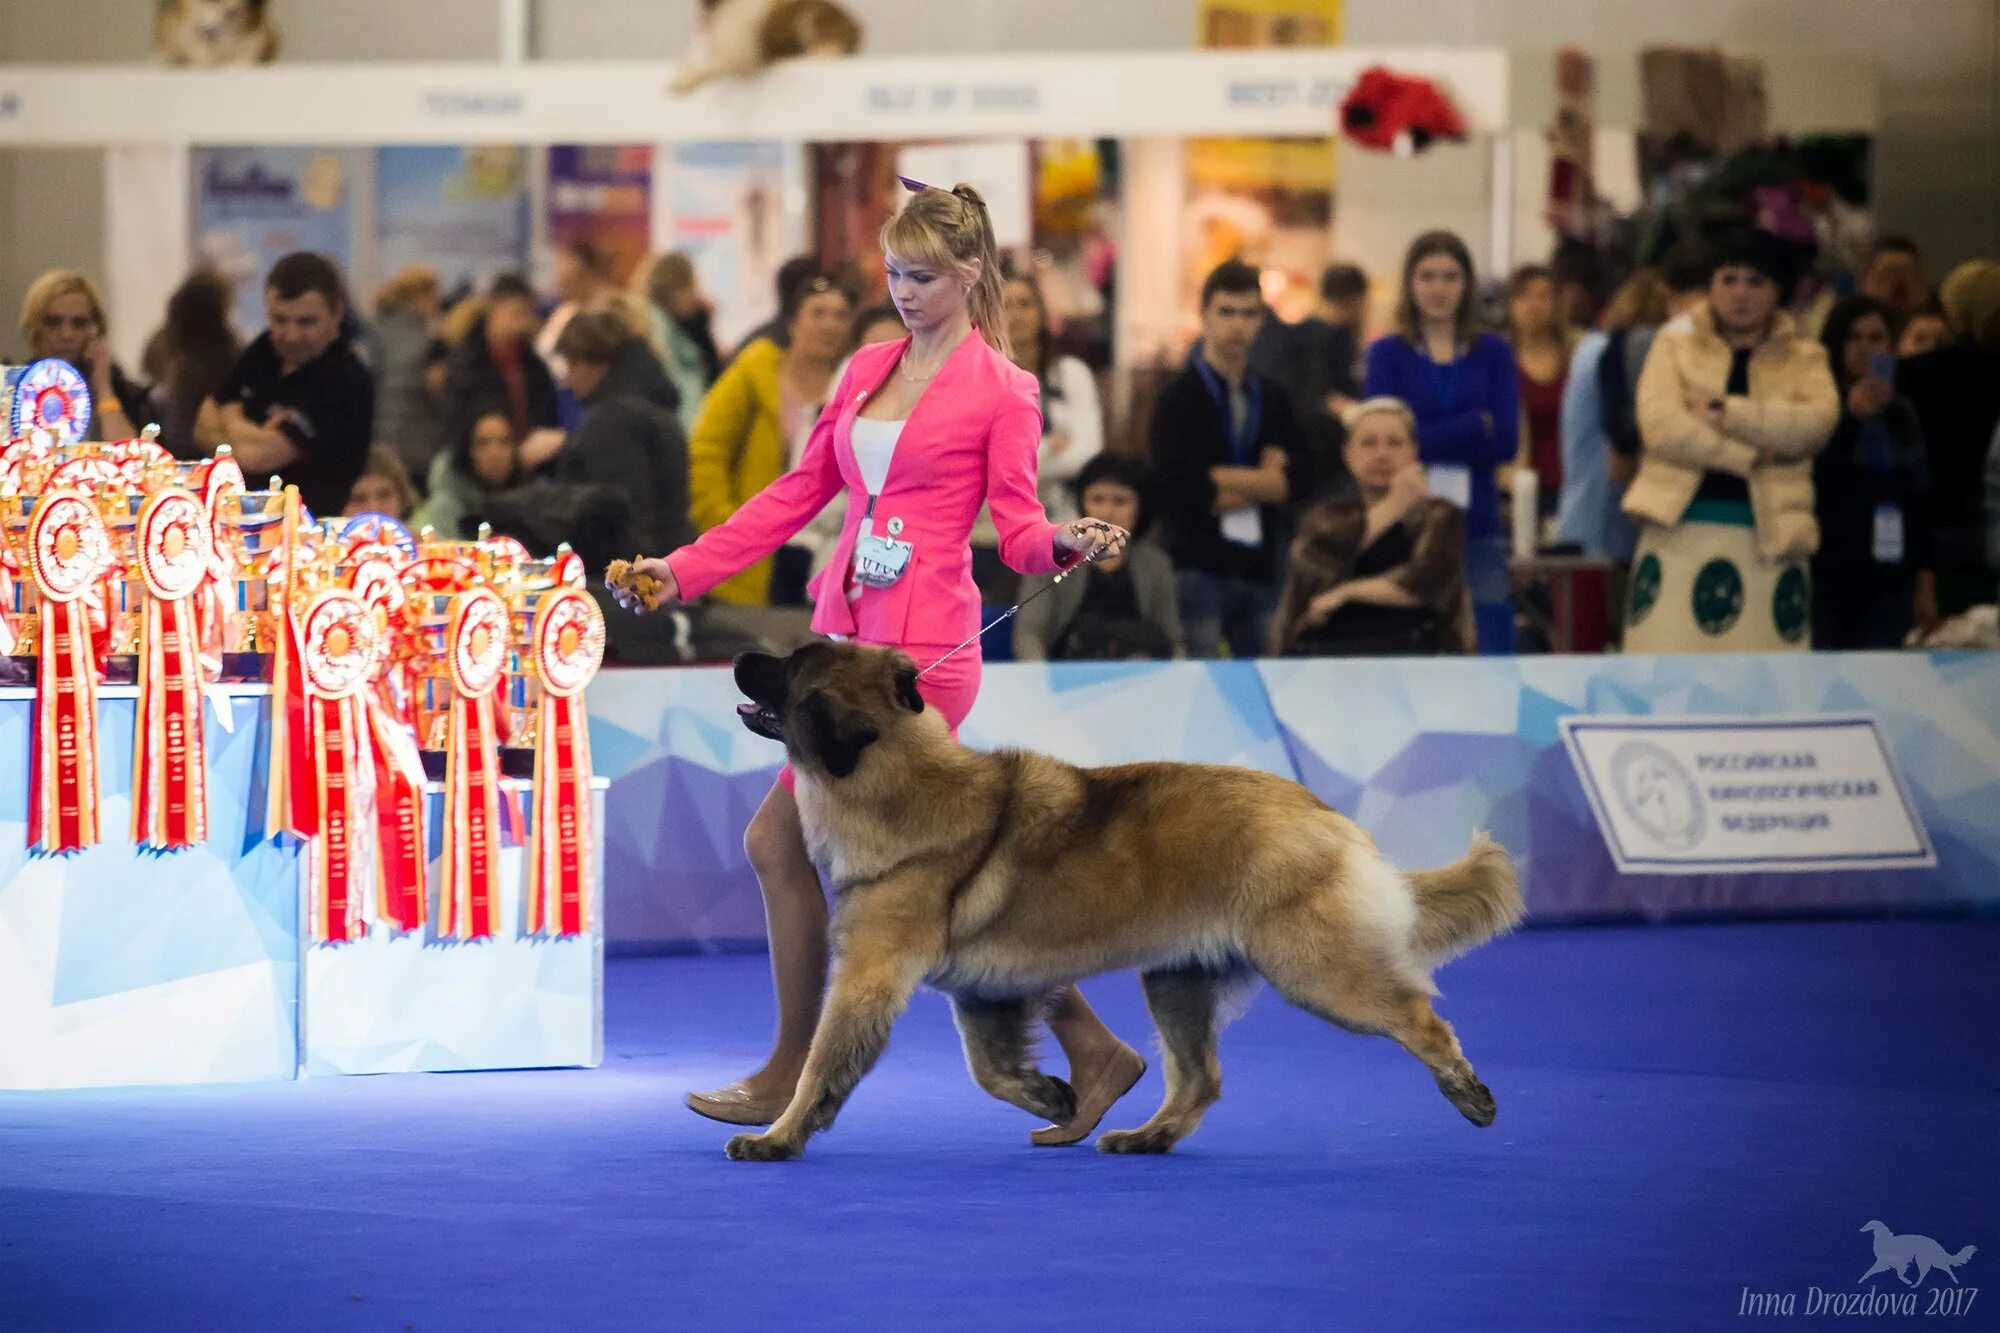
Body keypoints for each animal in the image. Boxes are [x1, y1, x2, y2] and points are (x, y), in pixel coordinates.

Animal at [668, 0, 864, 94]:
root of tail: (856, 25)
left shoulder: (743, 59)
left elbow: (709, 65)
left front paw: (683, 79)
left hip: (809, 18)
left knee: (830, 49)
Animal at [728, 640, 1520, 1160]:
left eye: (789, 665)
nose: (739, 656)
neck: (896, 776)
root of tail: (1324, 813)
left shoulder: (868, 978)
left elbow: (823, 1063)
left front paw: (777, 1136)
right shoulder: (982, 992)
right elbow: (989, 1067)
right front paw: (1050, 1095)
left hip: (1317, 972)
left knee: (1419, 1018)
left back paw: (1470, 1093)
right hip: (1177, 981)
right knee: (1199, 1079)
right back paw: (1148, 1135)